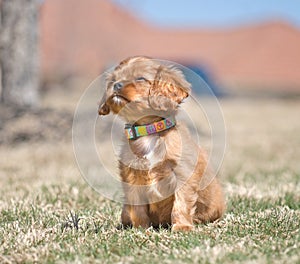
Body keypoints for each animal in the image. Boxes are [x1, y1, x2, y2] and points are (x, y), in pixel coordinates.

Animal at [98, 56, 225, 231]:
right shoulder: (132, 178)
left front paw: (182, 227)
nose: (116, 85)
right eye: (114, 80)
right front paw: (141, 229)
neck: (149, 131)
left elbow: (181, 203)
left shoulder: (183, 174)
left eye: (140, 78)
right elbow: (138, 209)